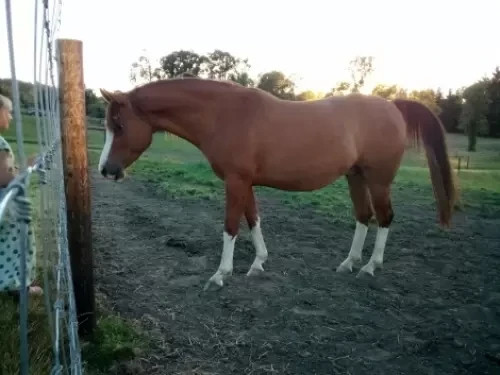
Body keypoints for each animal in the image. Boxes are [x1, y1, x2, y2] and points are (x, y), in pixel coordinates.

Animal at [97, 78, 458, 290]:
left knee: (384, 218)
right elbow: (253, 220)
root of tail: (393, 105)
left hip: (378, 179)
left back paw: (370, 267)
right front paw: (258, 263)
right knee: (364, 217)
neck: (223, 114)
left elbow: (231, 226)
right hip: (355, 176)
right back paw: (349, 263)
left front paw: (220, 274)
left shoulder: (236, 181)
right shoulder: (245, 182)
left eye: (120, 125)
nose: (105, 170)